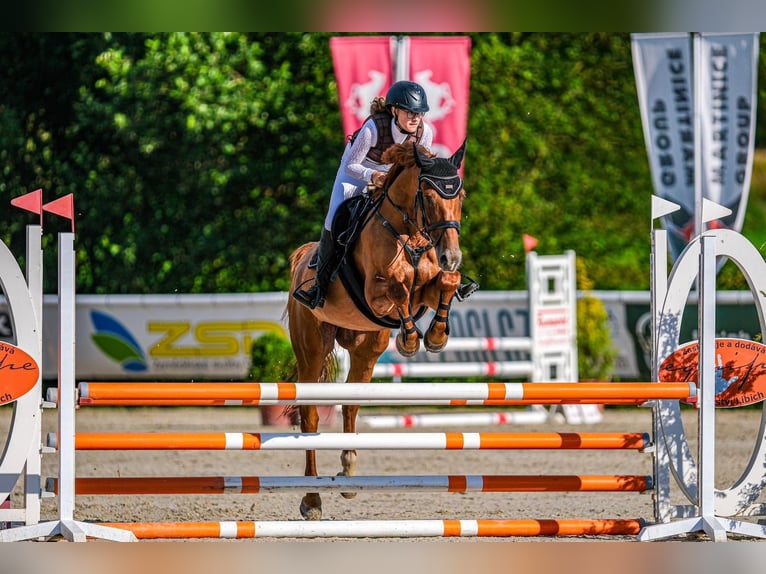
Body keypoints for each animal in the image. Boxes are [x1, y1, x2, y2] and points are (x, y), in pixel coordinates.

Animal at [285, 140, 468, 520]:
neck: (409, 232)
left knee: (350, 404)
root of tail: (302, 257)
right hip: (312, 348)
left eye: (460, 195)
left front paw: (436, 336)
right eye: (428, 196)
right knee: (310, 414)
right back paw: (312, 500)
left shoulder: (427, 290)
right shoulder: (375, 293)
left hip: (366, 347)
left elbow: (446, 282)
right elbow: (399, 288)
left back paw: (348, 471)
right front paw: (411, 340)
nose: (452, 256)